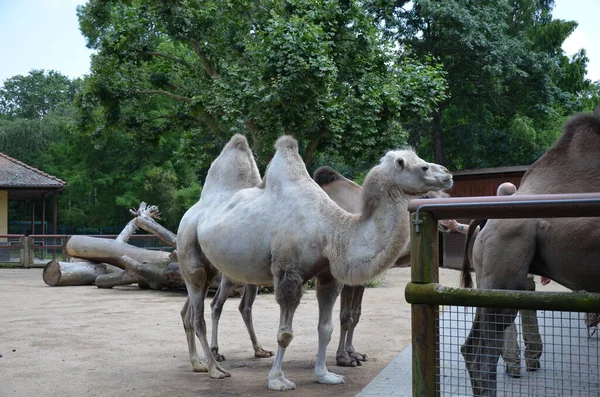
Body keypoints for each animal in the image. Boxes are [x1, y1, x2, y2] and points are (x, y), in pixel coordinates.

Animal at [176, 134, 452, 390]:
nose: (448, 174)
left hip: (214, 267)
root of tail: (191, 211)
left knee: (194, 310)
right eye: (423, 167)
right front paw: (277, 380)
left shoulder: (328, 276)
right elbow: (285, 334)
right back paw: (215, 368)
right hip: (189, 253)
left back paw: (198, 363)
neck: (332, 231)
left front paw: (325, 375)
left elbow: (326, 328)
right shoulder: (289, 274)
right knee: (199, 313)